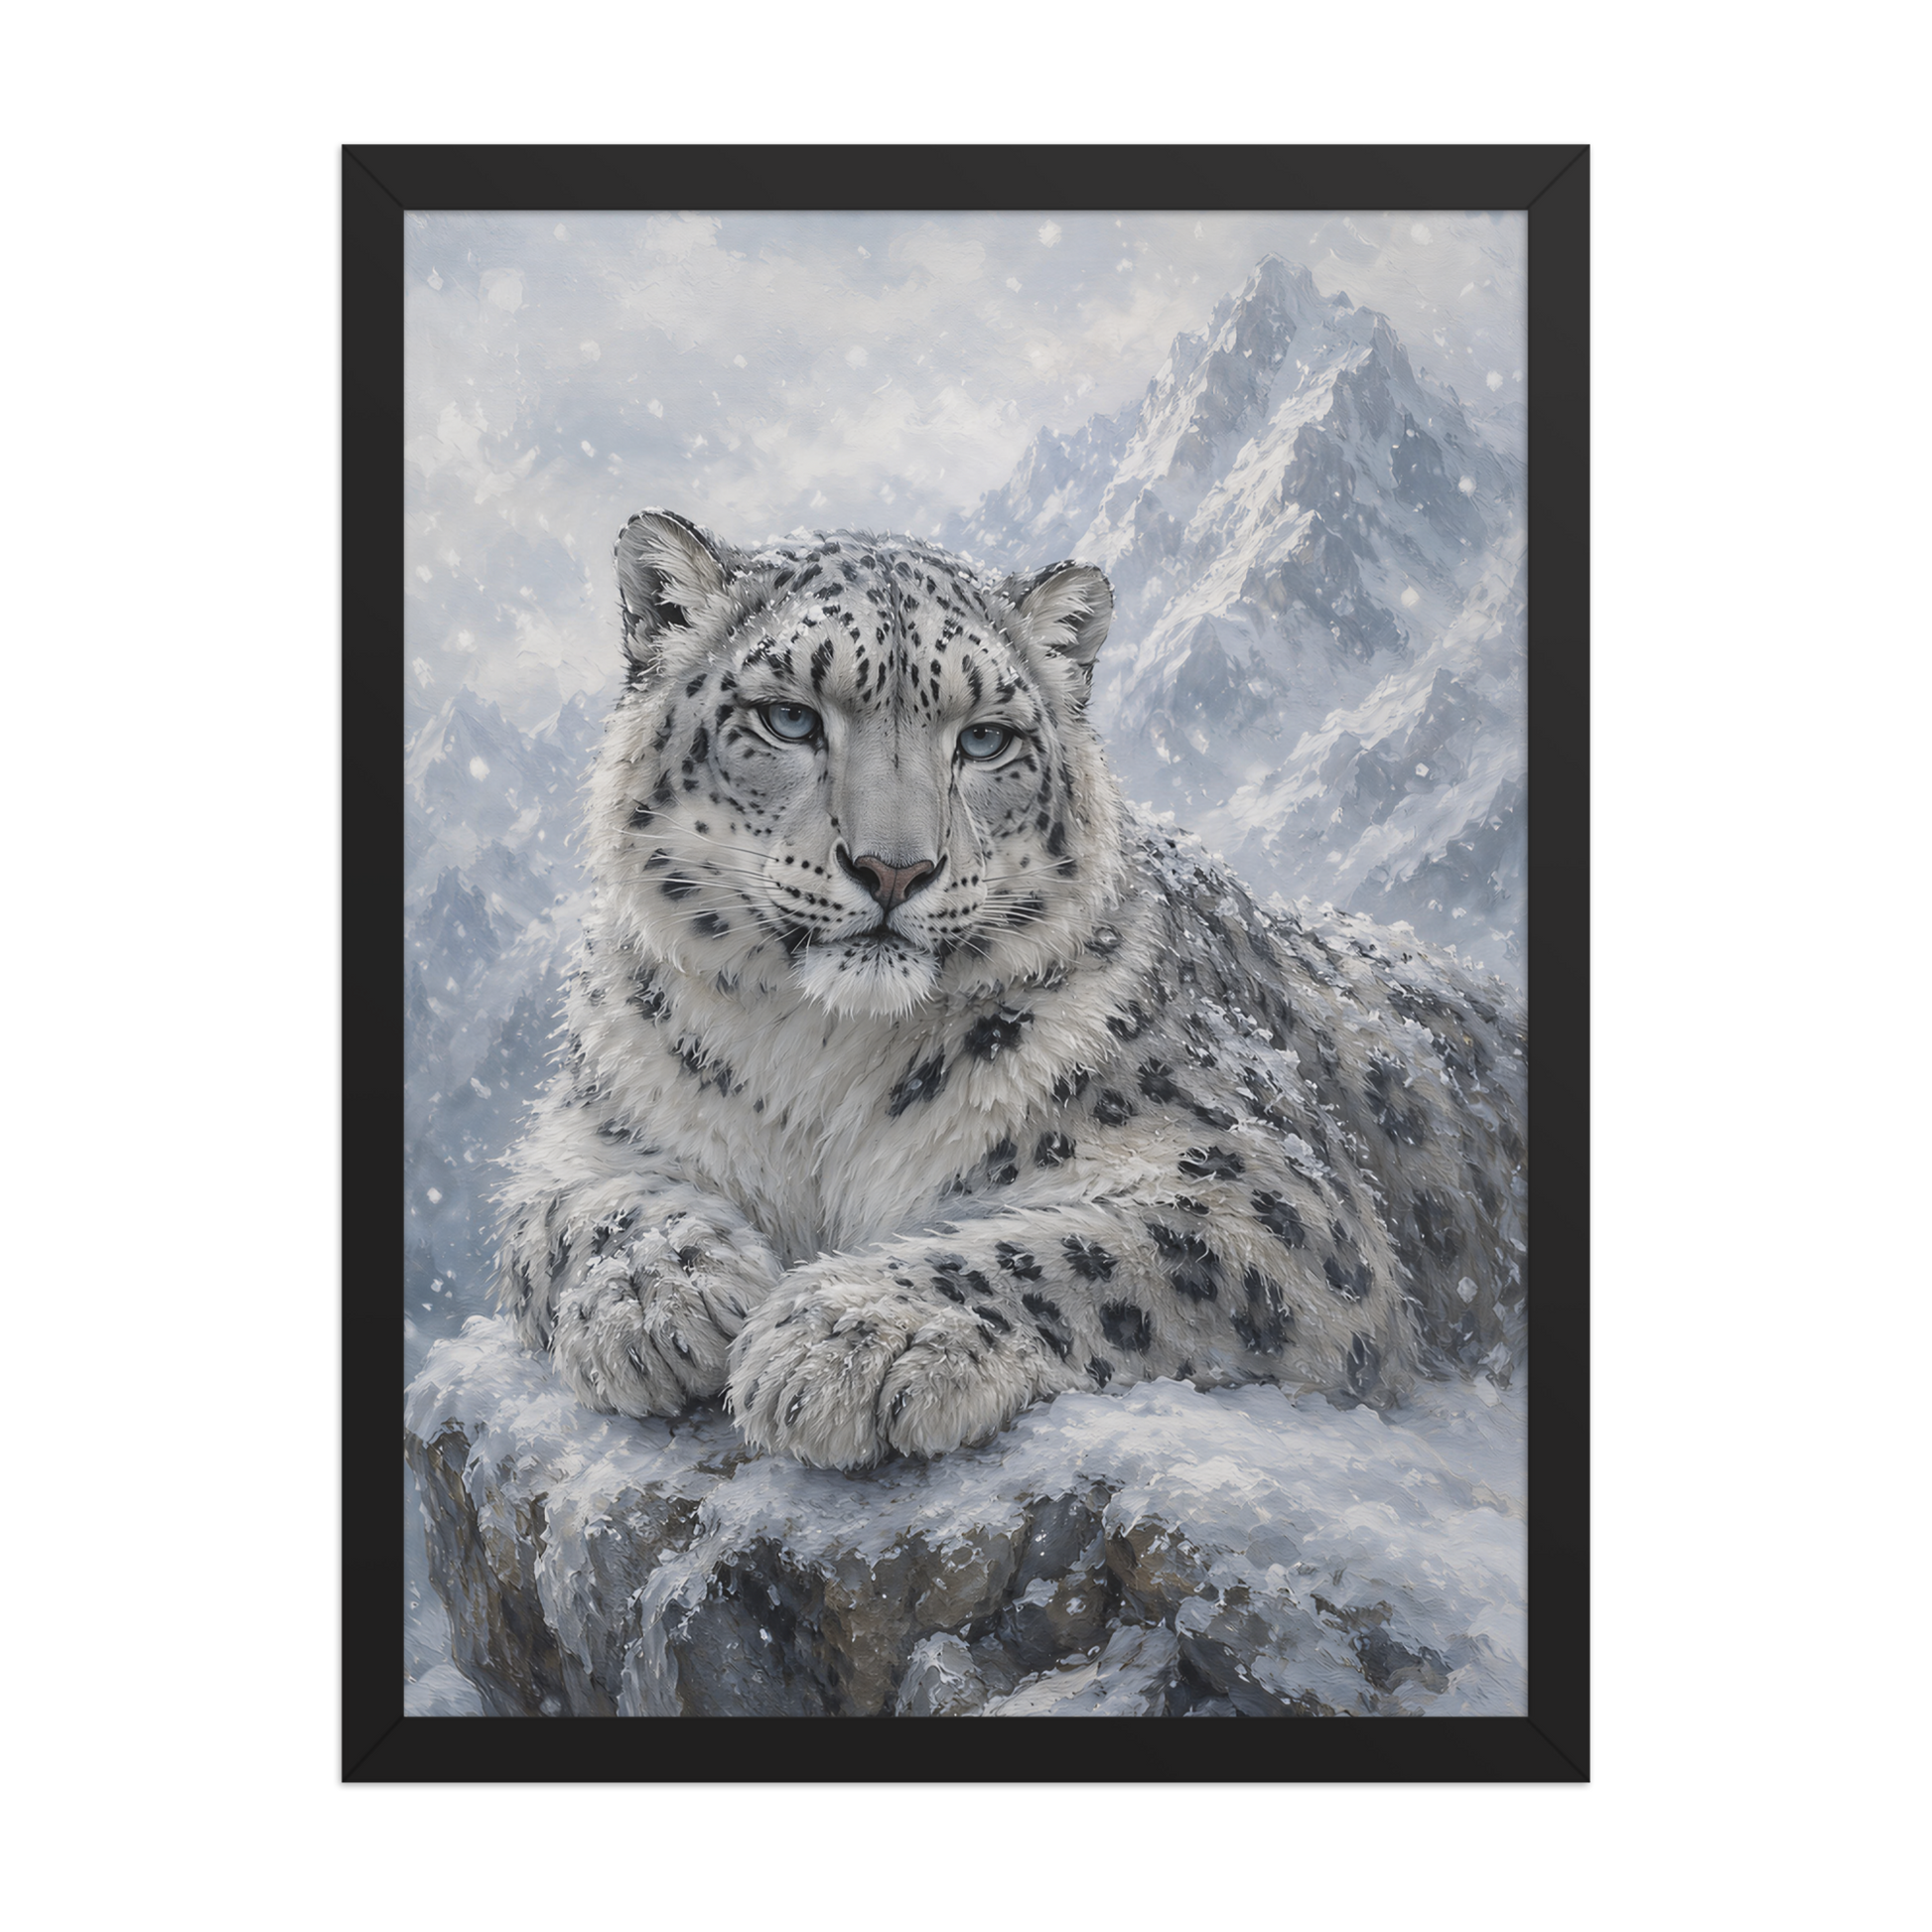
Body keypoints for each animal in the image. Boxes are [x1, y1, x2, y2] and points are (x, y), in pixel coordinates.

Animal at [492, 508, 1527, 1471]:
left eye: (985, 739)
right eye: (788, 717)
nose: (896, 868)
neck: (815, 1061)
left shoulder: (1268, 1193)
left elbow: (1076, 1248)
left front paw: (850, 1338)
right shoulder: (591, 1129)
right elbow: (575, 1209)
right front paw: (658, 1297)